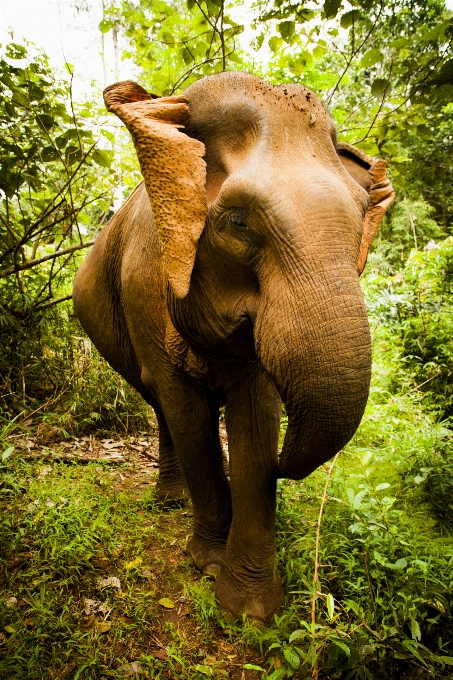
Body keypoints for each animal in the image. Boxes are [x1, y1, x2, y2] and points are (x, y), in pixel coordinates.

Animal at [73, 70, 392, 620]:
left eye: (361, 219)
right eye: (239, 222)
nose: (287, 464)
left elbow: (256, 416)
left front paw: (248, 611)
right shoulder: (143, 282)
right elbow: (187, 412)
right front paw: (207, 564)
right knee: (161, 403)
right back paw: (172, 500)